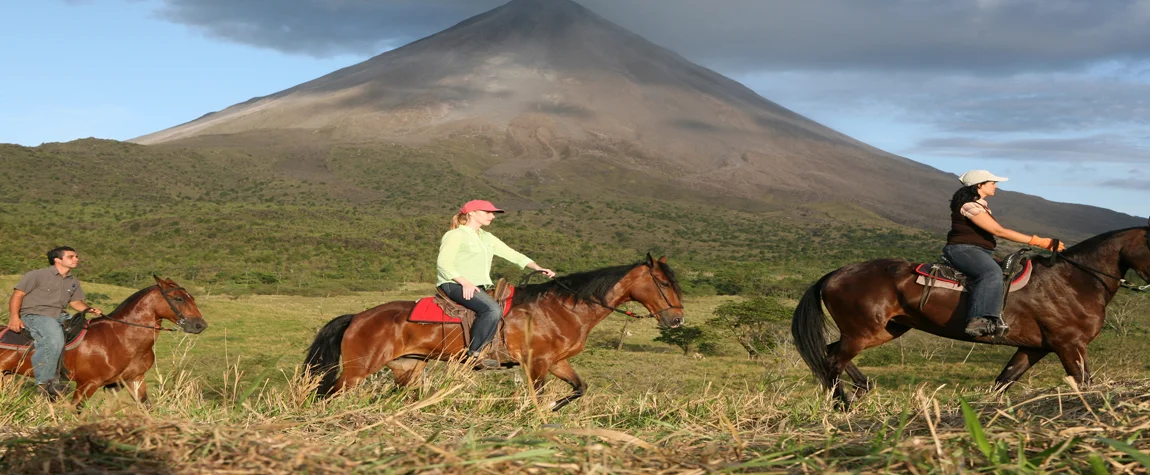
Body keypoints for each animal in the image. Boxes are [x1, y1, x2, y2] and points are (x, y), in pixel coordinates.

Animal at [303, 253, 680, 409]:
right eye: (663, 283)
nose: (676, 321)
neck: (560, 309)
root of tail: (358, 317)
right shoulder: (536, 363)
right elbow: (538, 396)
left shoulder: (557, 362)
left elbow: (578, 389)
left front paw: (554, 407)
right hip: (358, 370)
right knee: (328, 394)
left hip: (407, 368)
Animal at [791, 218, 1150, 407]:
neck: (1073, 279)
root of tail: (833, 274)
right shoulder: (1070, 345)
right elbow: (1085, 383)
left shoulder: (1034, 348)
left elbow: (1003, 381)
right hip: (864, 332)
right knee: (833, 360)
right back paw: (843, 405)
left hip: (884, 330)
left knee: (831, 353)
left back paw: (860, 389)